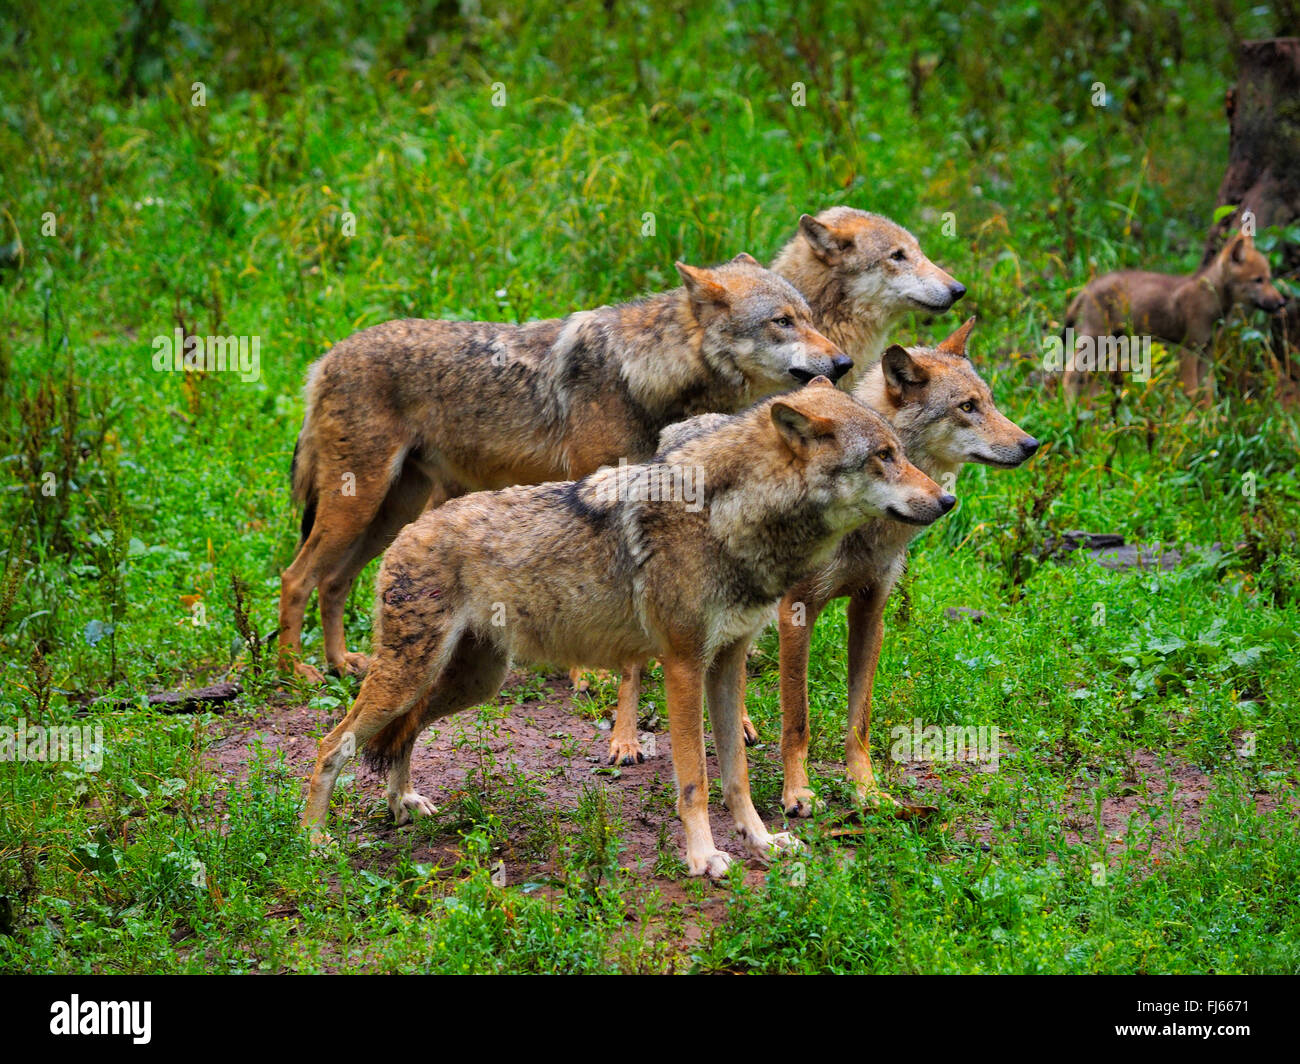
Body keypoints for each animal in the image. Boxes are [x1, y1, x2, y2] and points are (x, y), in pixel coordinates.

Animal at [764, 318, 1040, 816]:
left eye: (989, 402)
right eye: (966, 407)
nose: (1031, 444)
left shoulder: (871, 610)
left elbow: (860, 719)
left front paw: (866, 790)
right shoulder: (795, 613)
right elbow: (797, 717)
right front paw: (797, 792)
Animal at [1060, 227, 1284, 398]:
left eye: (1269, 278)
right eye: (1258, 280)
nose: (1281, 303)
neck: (1213, 297)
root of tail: (1087, 287)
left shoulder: (1208, 351)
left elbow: (1207, 392)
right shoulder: (1189, 348)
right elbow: (1191, 390)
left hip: (1111, 342)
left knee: (1089, 377)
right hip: (1097, 338)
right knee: (1071, 373)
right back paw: (1072, 412)